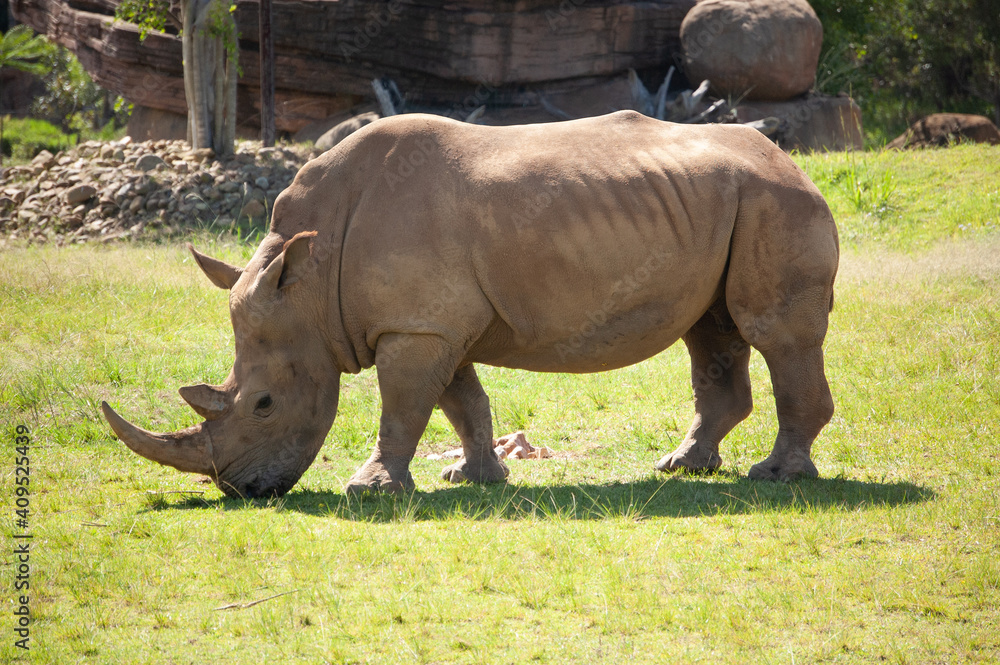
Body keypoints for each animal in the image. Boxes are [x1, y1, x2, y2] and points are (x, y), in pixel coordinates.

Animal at [101, 110, 839, 498]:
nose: (245, 490)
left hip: (775, 200)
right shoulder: (433, 322)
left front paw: (371, 488)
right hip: (729, 203)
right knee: (712, 332)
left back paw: (778, 478)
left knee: (776, 335)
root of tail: (792, 158)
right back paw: (683, 465)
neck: (306, 283)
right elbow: (461, 401)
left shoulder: (416, 326)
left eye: (263, 404)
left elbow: (402, 407)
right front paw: (473, 476)